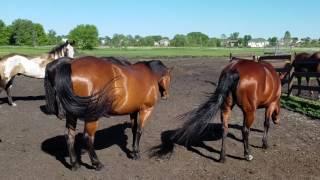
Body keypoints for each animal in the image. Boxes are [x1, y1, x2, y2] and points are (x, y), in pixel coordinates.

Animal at [44, 56, 172, 170]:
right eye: (169, 78)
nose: (166, 96)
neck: (150, 74)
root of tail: (70, 65)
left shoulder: (133, 111)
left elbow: (134, 129)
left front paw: (133, 151)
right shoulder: (146, 110)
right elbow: (139, 130)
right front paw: (136, 153)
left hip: (72, 114)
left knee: (69, 136)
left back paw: (75, 165)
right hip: (92, 116)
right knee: (88, 137)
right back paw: (97, 164)